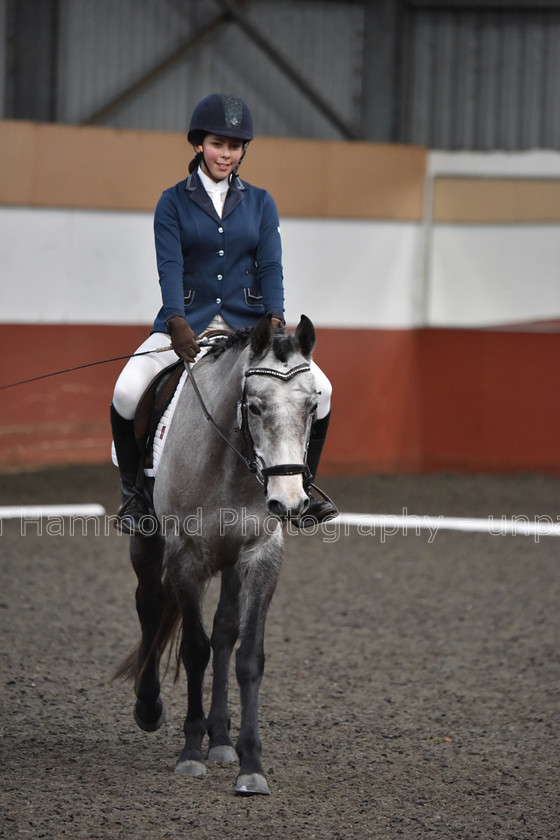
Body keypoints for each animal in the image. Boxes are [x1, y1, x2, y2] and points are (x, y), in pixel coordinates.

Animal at [116, 316, 318, 796]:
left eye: (311, 408)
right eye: (256, 407)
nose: (289, 503)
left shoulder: (261, 556)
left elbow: (248, 656)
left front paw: (251, 765)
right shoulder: (186, 558)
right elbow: (194, 649)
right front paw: (190, 752)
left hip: (229, 560)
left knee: (225, 631)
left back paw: (222, 739)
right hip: (149, 542)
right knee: (150, 605)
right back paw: (149, 708)